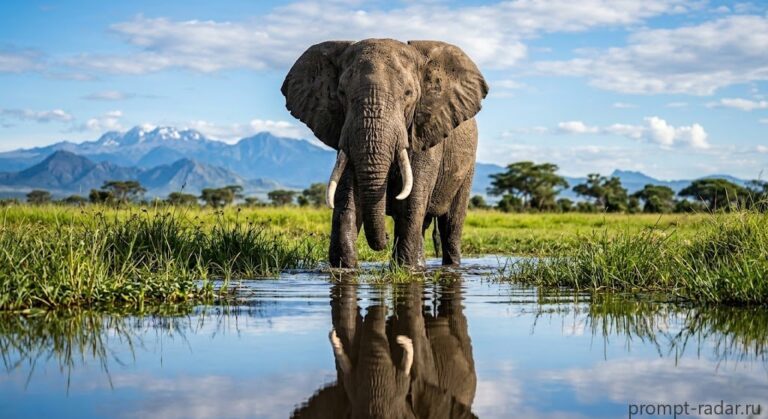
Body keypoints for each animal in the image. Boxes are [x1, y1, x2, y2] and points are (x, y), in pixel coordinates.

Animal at [281, 39, 488, 267]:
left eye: (408, 93)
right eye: (342, 93)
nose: (386, 238)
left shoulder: (424, 132)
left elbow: (411, 201)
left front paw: (405, 269)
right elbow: (347, 199)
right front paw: (345, 267)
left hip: (467, 166)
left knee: (451, 223)